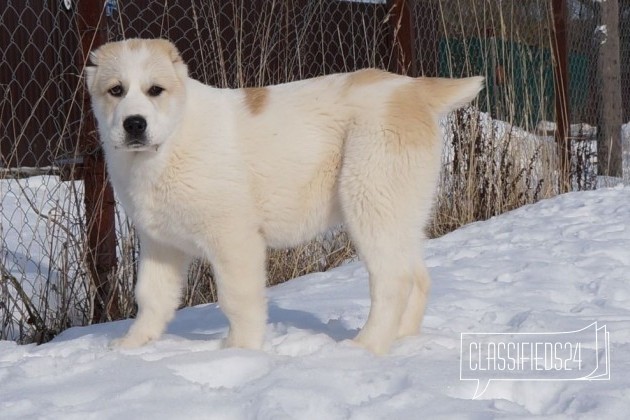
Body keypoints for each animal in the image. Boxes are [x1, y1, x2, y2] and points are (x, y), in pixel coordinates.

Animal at [86, 39, 486, 354]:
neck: (171, 140)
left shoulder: (234, 238)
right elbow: (151, 296)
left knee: (393, 279)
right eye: (116, 91)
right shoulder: (160, 243)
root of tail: (412, 89)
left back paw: (365, 347)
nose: (134, 124)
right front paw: (134, 345)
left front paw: (240, 351)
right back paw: (400, 339)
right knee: (417, 276)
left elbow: (237, 298)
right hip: (400, 209)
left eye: (156, 90)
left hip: (370, 198)